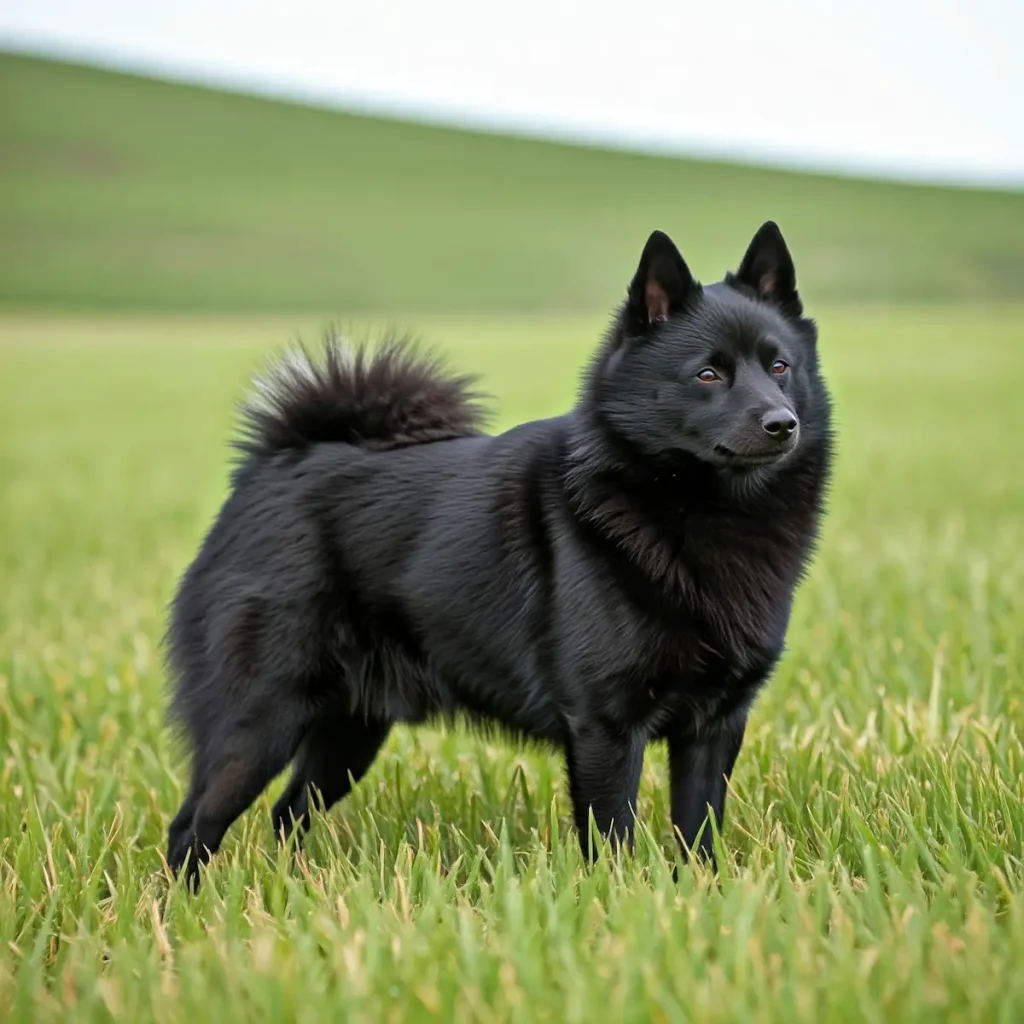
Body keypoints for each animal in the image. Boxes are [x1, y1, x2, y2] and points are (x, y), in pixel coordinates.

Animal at [161, 222, 831, 888]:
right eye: (707, 375)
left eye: (779, 366)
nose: (781, 423)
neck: (701, 509)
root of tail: (280, 460)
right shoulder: (606, 727)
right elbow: (613, 837)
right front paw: (620, 903)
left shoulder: (714, 727)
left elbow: (698, 833)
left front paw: (700, 899)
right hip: (261, 718)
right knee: (192, 825)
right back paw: (186, 907)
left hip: (350, 730)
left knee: (289, 810)